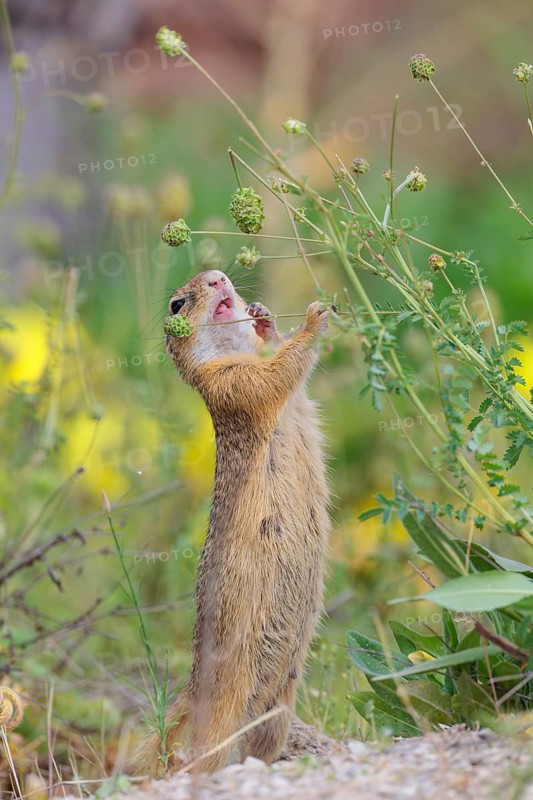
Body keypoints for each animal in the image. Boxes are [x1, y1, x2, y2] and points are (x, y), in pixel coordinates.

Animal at [140, 269, 331, 775]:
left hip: (279, 708)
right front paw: (314, 318)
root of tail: (190, 692)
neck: (232, 351)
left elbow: (280, 364)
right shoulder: (231, 383)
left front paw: (266, 320)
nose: (216, 276)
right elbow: (275, 375)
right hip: (226, 706)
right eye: (176, 304)